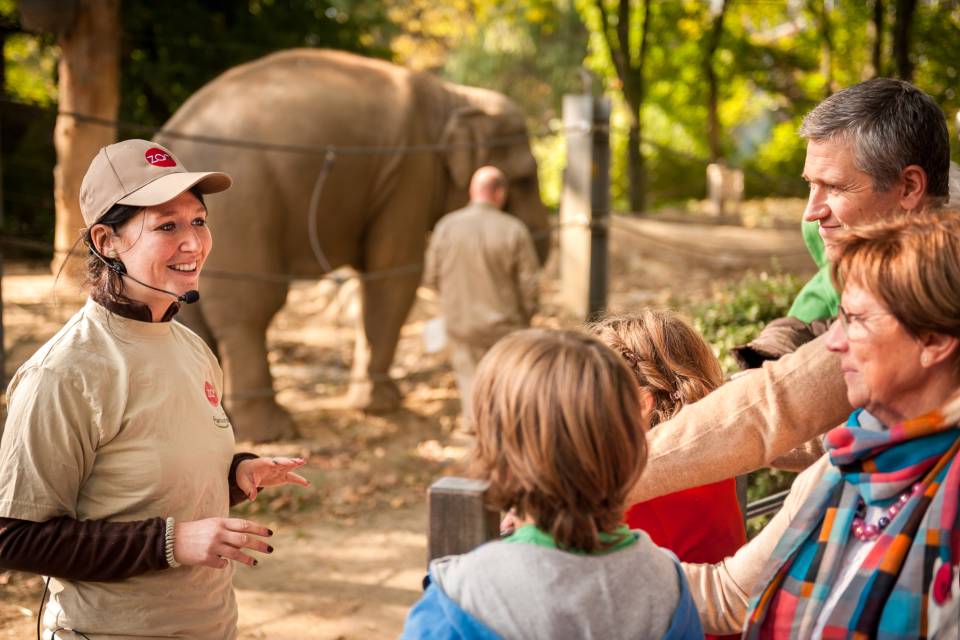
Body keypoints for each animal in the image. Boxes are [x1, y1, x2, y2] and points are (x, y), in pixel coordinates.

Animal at [157, 50, 548, 442]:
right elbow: (395, 272)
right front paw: (382, 406)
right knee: (251, 310)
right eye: (526, 179)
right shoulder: (411, 171)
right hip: (244, 208)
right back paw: (273, 432)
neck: (454, 97)